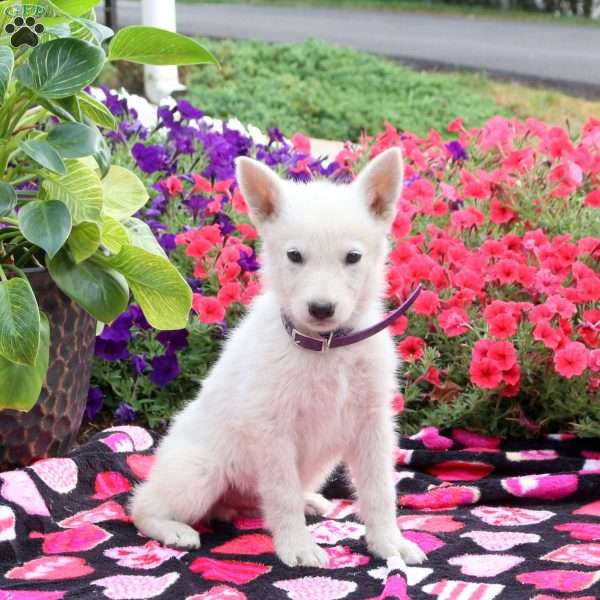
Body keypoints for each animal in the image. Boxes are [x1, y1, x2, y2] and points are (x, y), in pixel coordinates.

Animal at [130, 146, 426, 568]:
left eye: (353, 257)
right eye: (295, 255)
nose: (321, 308)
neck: (325, 349)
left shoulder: (372, 423)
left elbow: (380, 490)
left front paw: (389, 542)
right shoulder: (272, 428)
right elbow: (282, 493)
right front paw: (298, 547)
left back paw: (306, 502)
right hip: (200, 472)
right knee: (141, 505)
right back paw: (174, 529)